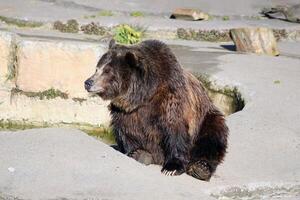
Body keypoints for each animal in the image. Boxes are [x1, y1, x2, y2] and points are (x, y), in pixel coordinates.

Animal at [83, 38, 229, 180]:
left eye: (107, 71)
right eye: (97, 68)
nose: (88, 82)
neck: (143, 95)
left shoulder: (170, 99)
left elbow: (175, 129)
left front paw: (172, 168)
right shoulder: (126, 111)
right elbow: (125, 130)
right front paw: (138, 153)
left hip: (206, 117)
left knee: (212, 137)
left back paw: (201, 168)